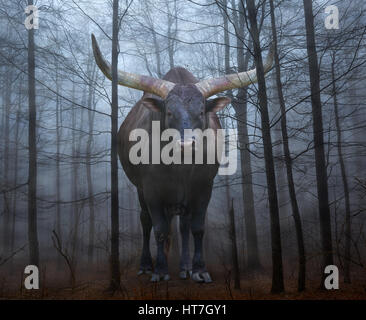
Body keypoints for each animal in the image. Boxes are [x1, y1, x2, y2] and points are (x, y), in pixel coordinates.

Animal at [91, 35, 274, 282]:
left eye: (202, 112)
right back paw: (146, 265)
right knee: (146, 221)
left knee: (184, 225)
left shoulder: (203, 187)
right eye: (169, 112)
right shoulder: (152, 189)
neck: (180, 167)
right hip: (141, 190)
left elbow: (197, 227)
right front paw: (159, 271)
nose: (187, 143)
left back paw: (185, 267)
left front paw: (199, 269)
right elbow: (159, 228)